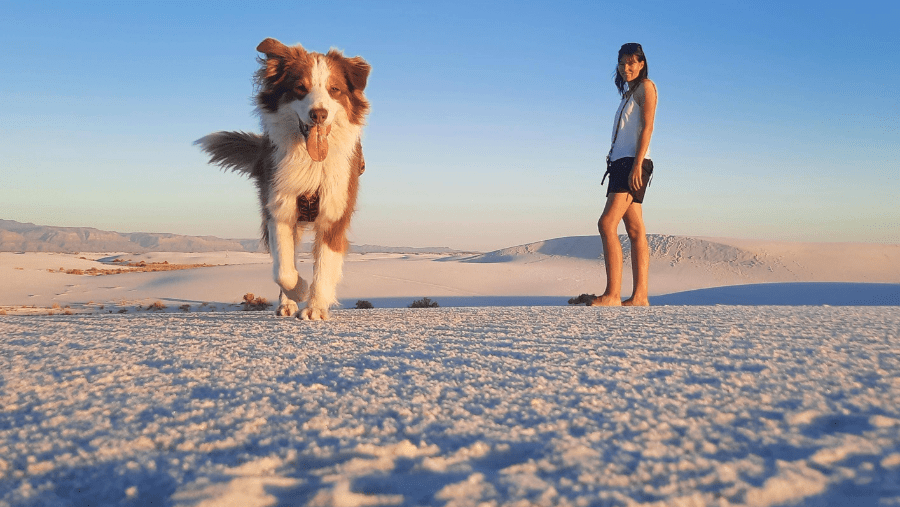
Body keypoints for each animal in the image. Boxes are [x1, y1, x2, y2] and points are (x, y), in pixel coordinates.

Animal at [196, 37, 370, 320]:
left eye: (334, 89)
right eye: (300, 88)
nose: (319, 114)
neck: (311, 163)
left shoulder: (335, 213)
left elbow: (324, 266)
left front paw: (316, 307)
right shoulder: (278, 207)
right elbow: (283, 270)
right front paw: (299, 291)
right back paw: (287, 303)